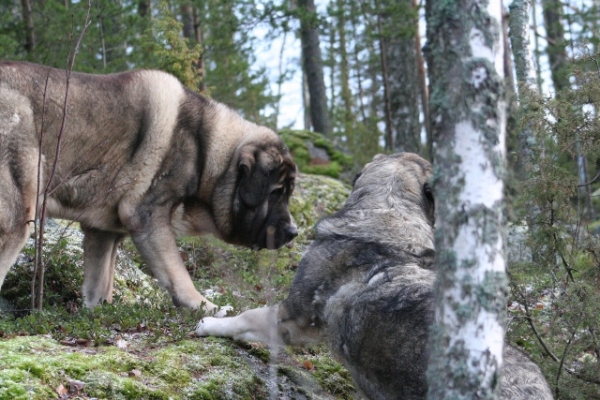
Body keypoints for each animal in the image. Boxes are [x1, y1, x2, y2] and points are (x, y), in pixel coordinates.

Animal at [0, 61, 298, 312]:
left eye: (286, 193)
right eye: (276, 193)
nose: (294, 232)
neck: (208, 153)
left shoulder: (104, 232)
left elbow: (101, 282)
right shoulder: (147, 218)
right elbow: (178, 273)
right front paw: (205, 306)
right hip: (19, 216)